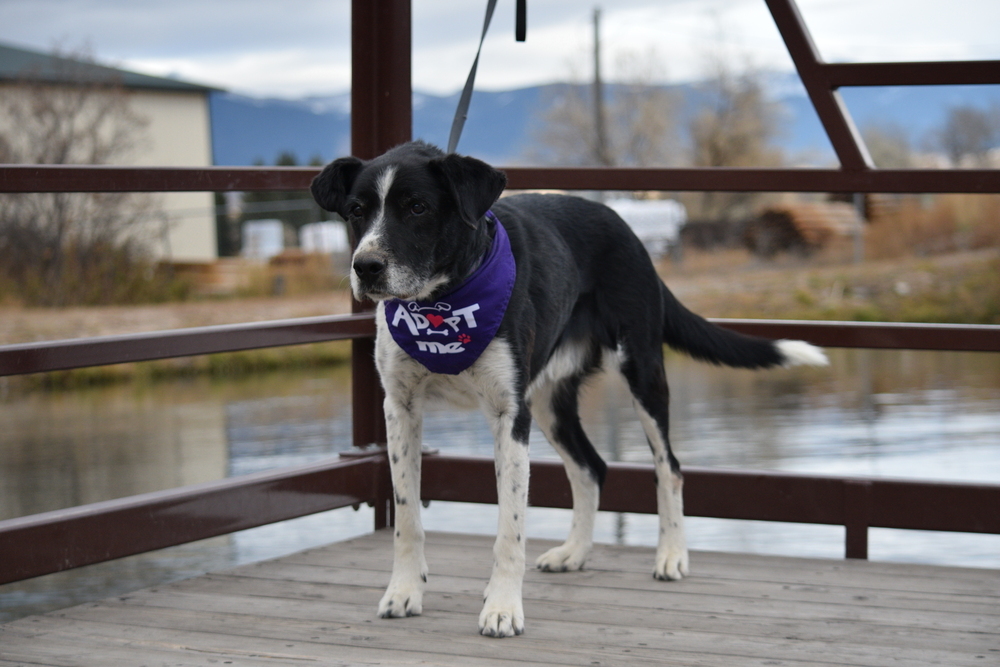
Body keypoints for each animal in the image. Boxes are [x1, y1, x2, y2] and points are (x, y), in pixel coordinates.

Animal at [312, 141, 828, 636]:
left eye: (417, 207)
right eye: (356, 211)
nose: (366, 266)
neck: (443, 304)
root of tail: (624, 226)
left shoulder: (509, 416)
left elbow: (510, 529)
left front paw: (502, 609)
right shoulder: (401, 409)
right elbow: (407, 517)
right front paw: (404, 592)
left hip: (641, 373)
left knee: (670, 467)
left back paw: (671, 555)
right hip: (549, 402)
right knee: (591, 467)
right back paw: (575, 553)